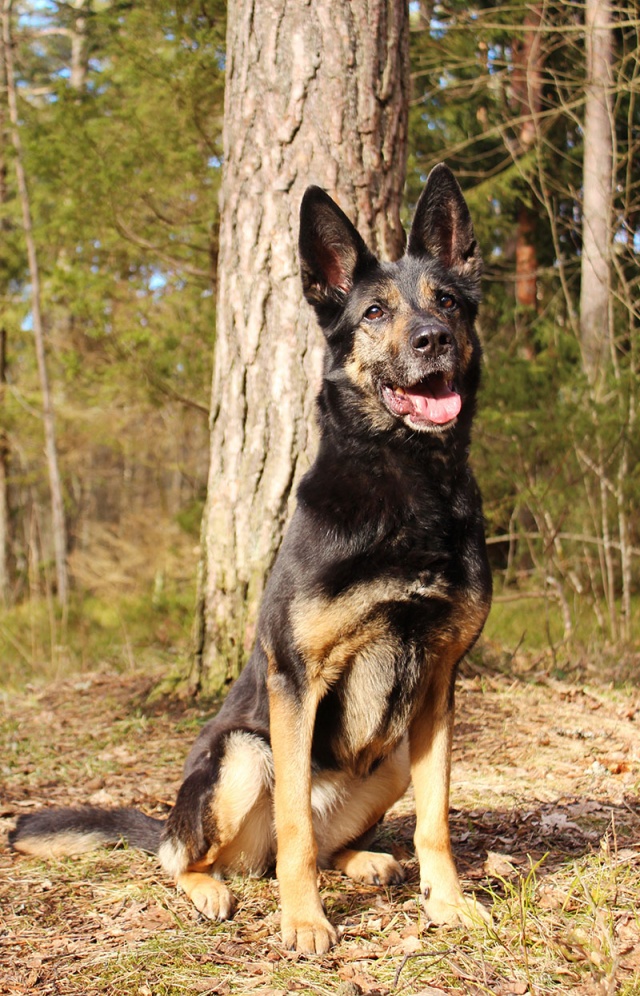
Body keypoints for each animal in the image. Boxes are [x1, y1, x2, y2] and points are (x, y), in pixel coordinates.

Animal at [10, 163, 492, 954]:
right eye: (374, 313)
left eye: (447, 301)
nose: (434, 339)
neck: (407, 483)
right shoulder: (295, 679)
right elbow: (295, 824)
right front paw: (303, 923)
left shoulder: (439, 688)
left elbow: (436, 819)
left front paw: (446, 902)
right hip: (242, 754)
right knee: (199, 855)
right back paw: (211, 887)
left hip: (390, 760)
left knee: (319, 843)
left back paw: (363, 861)